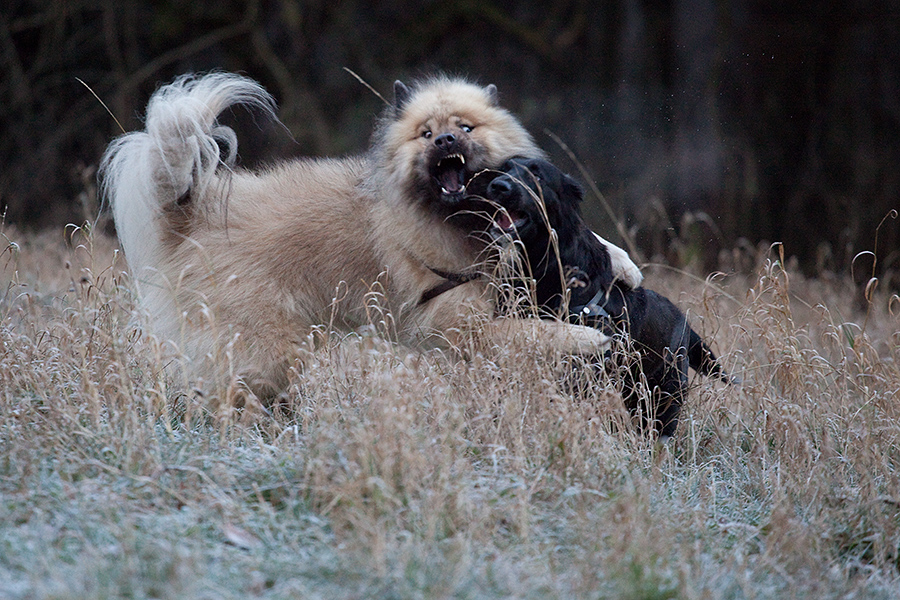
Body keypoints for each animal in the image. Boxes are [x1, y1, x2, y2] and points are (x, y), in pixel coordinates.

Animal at [482, 157, 736, 438]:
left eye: (537, 176)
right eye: (504, 168)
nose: (498, 186)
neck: (545, 266)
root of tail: (685, 324)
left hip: (660, 399)